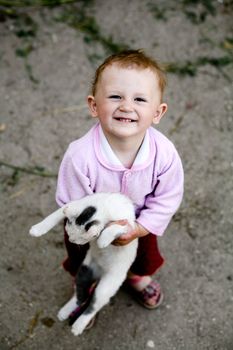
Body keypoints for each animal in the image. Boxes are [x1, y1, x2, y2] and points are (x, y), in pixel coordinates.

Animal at [29, 193, 137, 334]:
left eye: (78, 240)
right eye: (68, 233)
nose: (70, 240)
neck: (104, 208)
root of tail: (100, 271)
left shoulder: (128, 225)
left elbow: (113, 227)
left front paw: (102, 240)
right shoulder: (76, 203)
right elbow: (56, 214)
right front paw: (37, 229)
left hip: (106, 286)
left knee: (94, 305)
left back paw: (78, 325)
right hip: (84, 270)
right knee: (81, 295)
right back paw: (65, 312)